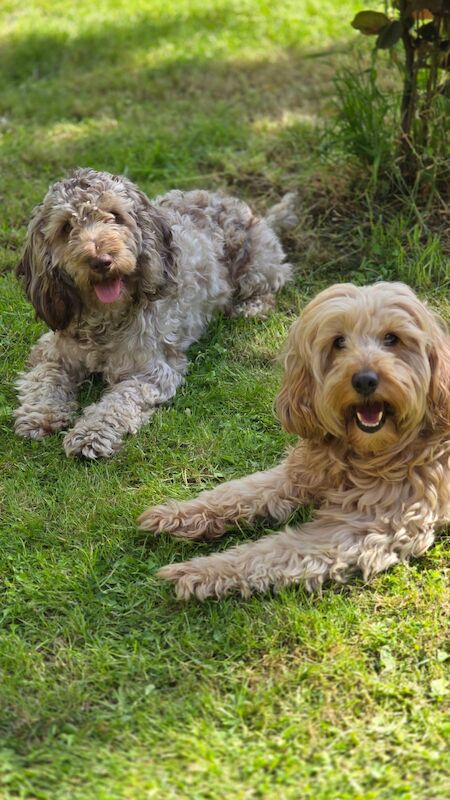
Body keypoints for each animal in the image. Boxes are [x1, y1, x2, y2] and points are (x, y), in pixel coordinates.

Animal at [14, 167, 294, 456]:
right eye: (66, 227)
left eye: (115, 215)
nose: (101, 261)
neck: (104, 321)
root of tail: (250, 211)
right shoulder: (51, 353)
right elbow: (45, 380)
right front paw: (40, 415)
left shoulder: (150, 373)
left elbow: (117, 403)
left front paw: (91, 433)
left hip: (255, 266)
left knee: (273, 282)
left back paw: (251, 307)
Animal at [139, 282, 448, 600]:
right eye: (338, 342)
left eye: (391, 338)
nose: (364, 380)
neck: (364, 455)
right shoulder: (299, 473)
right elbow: (238, 491)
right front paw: (177, 513)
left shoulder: (366, 526)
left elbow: (273, 551)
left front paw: (200, 571)